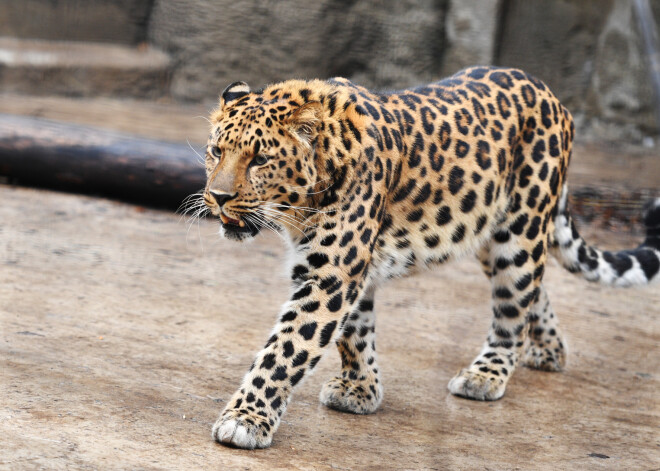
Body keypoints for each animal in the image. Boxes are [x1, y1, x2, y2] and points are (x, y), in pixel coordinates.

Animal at [196, 66, 660, 450]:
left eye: (259, 159)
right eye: (217, 151)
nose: (217, 197)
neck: (299, 205)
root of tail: (552, 96)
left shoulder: (332, 275)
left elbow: (285, 349)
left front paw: (244, 420)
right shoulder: (349, 267)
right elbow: (356, 333)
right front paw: (360, 390)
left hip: (519, 230)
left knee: (514, 308)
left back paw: (486, 374)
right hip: (494, 233)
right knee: (536, 291)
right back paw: (549, 350)